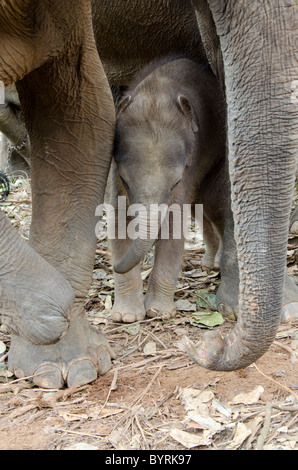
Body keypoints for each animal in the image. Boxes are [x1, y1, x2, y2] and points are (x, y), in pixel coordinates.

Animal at [109, 56, 226, 324]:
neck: (156, 92)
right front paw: (126, 317)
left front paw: (158, 312)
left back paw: (217, 264)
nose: (113, 266)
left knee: (212, 204)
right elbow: (119, 220)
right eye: (125, 180)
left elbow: (175, 223)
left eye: (175, 183)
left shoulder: (191, 163)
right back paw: (208, 264)